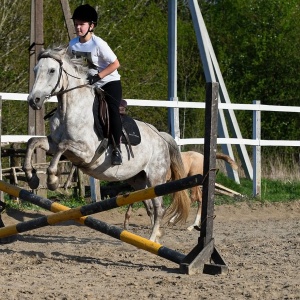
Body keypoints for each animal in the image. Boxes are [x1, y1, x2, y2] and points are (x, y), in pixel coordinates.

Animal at [22, 47, 190, 244]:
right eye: (35, 70)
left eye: (51, 70)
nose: (34, 100)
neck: (69, 109)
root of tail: (161, 136)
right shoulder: (53, 144)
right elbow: (33, 142)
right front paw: (32, 177)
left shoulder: (86, 152)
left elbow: (63, 146)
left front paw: (52, 181)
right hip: (139, 181)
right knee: (150, 207)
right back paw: (153, 240)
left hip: (156, 178)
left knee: (159, 208)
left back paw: (151, 237)